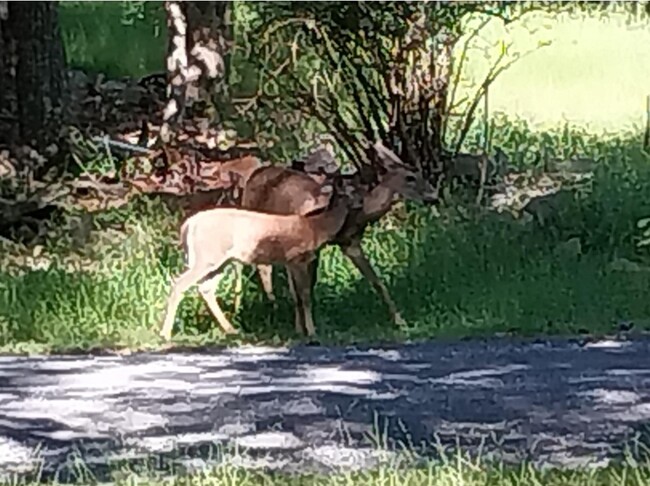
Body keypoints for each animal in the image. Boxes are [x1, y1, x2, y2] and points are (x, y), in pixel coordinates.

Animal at [157, 173, 360, 340]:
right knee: (180, 283)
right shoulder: (297, 259)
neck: (316, 228)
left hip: (218, 260)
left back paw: (231, 330)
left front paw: (299, 330)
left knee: (205, 288)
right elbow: (305, 295)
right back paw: (165, 334)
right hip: (205, 256)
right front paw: (311, 331)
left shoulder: (290, 262)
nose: (360, 203)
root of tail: (187, 226)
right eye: (351, 191)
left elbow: (297, 295)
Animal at [235, 139, 438, 332]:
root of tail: (255, 173)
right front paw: (306, 329)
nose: (433, 196)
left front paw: (400, 321)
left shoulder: (350, 244)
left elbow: (377, 281)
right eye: (410, 178)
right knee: (260, 267)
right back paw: (265, 307)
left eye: (420, 173)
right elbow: (304, 289)